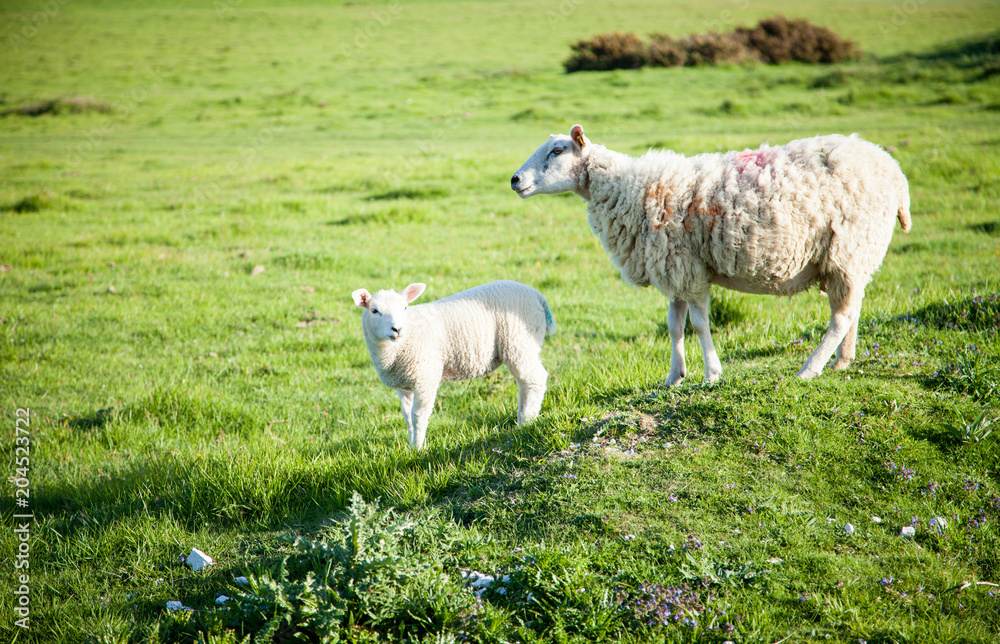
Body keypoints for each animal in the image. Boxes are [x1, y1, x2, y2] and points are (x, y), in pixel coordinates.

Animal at [352, 280, 556, 450]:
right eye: (374, 311)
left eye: (405, 307)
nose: (397, 329)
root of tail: (538, 296)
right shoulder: (404, 385)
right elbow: (408, 418)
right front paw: (410, 447)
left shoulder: (425, 378)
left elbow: (418, 417)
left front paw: (419, 449)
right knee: (525, 384)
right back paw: (521, 421)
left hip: (519, 343)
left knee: (535, 380)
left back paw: (527, 421)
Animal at [511, 124, 910, 383]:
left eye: (557, 151)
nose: (515, 180)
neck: (629, 188)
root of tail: (893, 170)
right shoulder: (674, 269)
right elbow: (674, 325)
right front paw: (674, 376)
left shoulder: (689, 269)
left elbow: (700, 325)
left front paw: (711, 374)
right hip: (848, 257)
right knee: (852, 306)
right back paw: (842, 362)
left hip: (850, 245)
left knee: (841, 315)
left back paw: (809, 369)